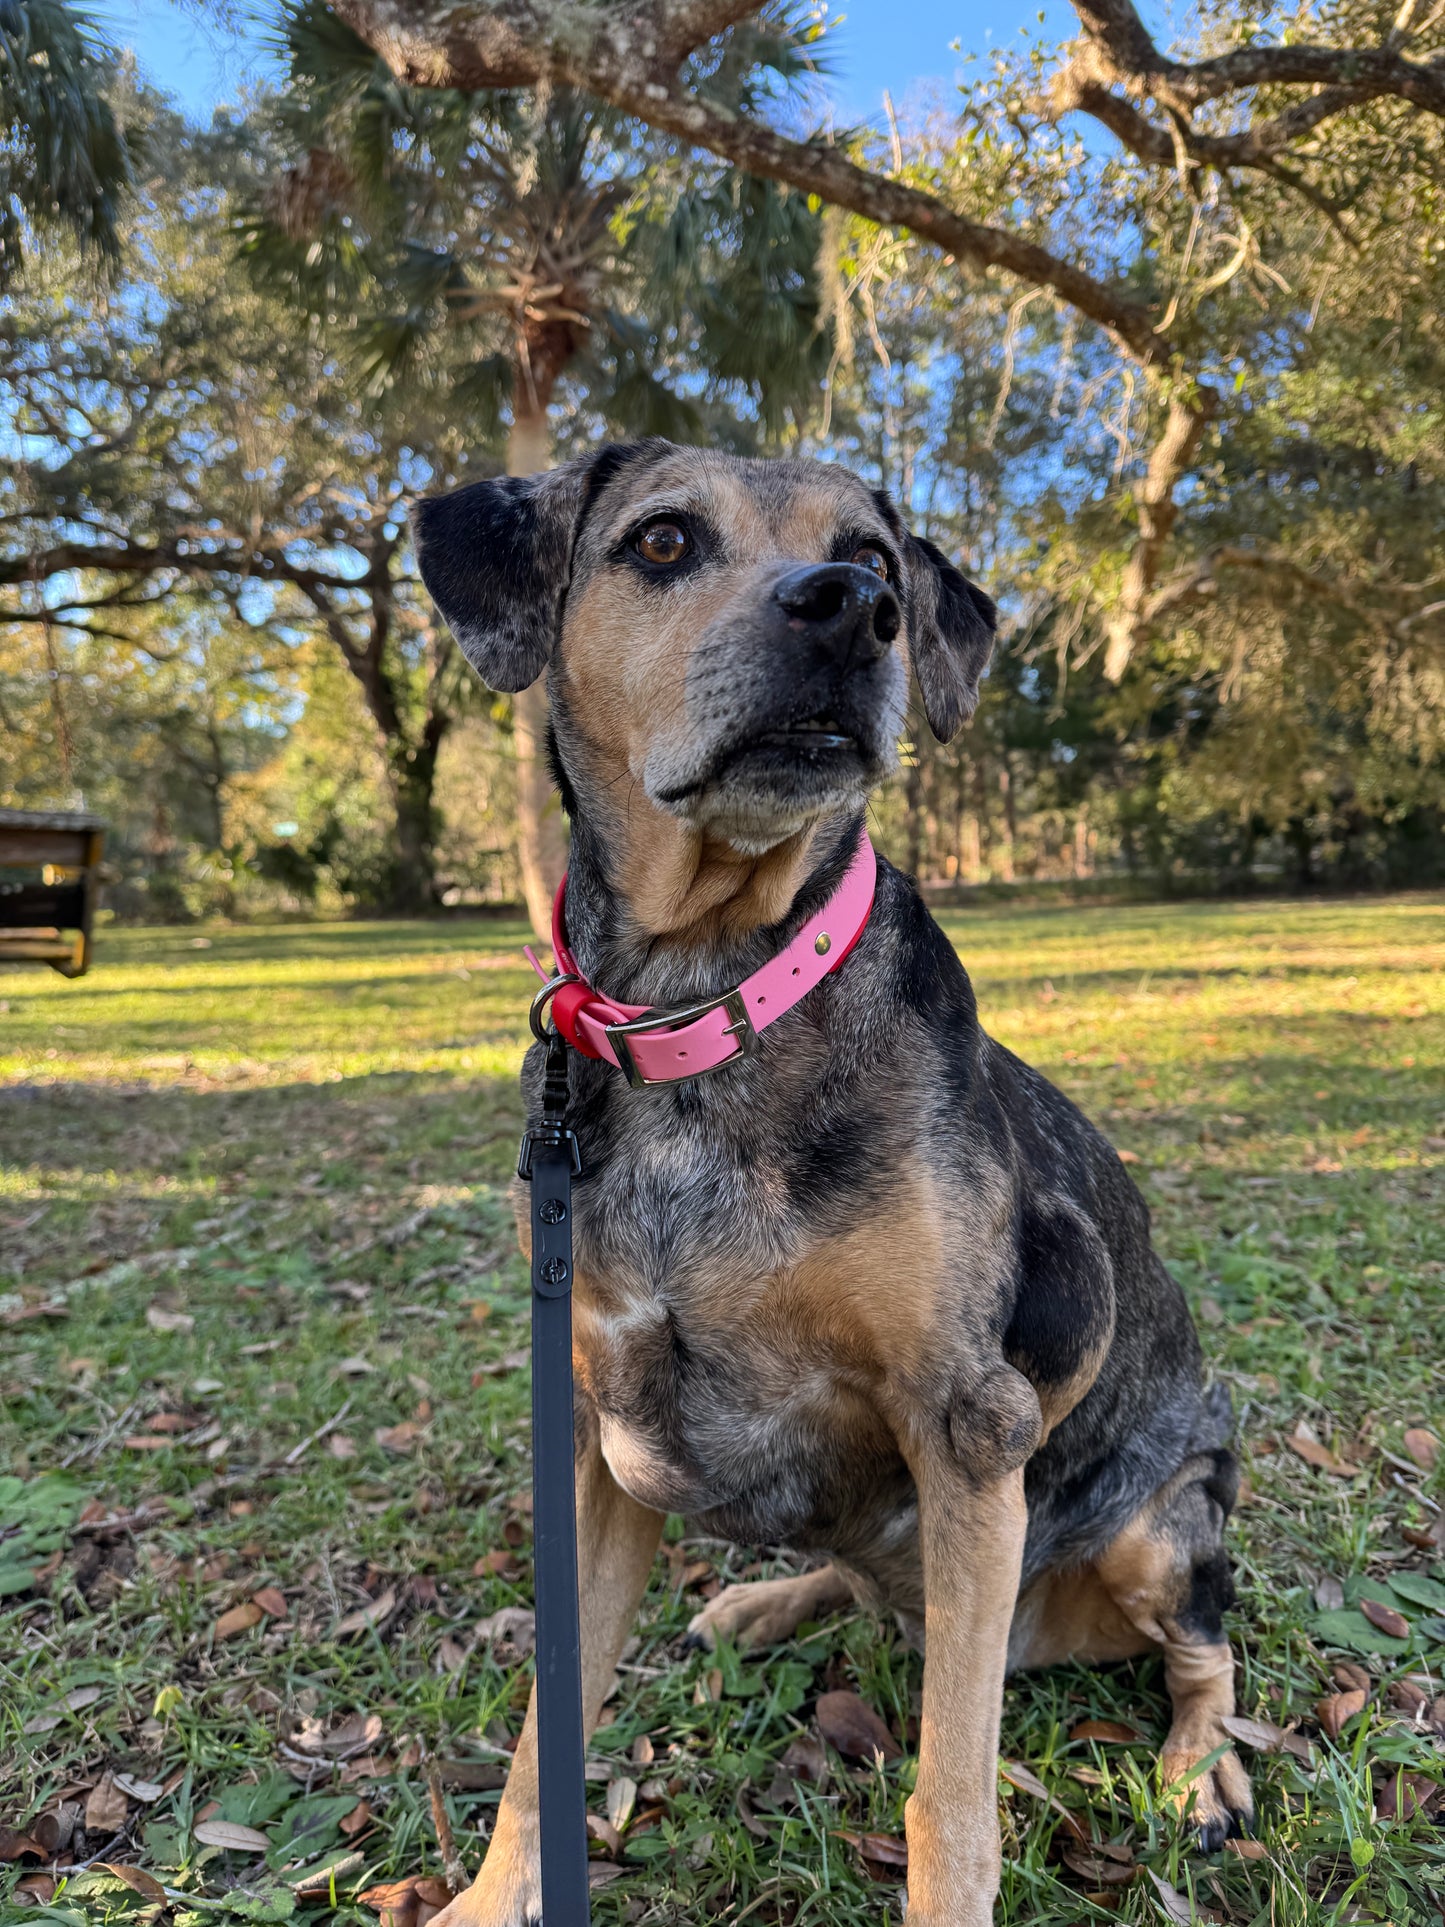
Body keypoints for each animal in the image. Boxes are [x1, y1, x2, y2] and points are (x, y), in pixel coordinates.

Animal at [412, 441, 1248, 1927]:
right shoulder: (593, 1433)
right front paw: (490, 1897)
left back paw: (1197, 1770)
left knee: (1207, 1656)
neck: (712, 998)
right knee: (863, 1584)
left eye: (871, 553)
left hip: (1156, 1529)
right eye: (663, 539)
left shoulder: (968, 1424)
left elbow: (948, 1796)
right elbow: (540, 1739)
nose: (852, 608)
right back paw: (768, 1601)